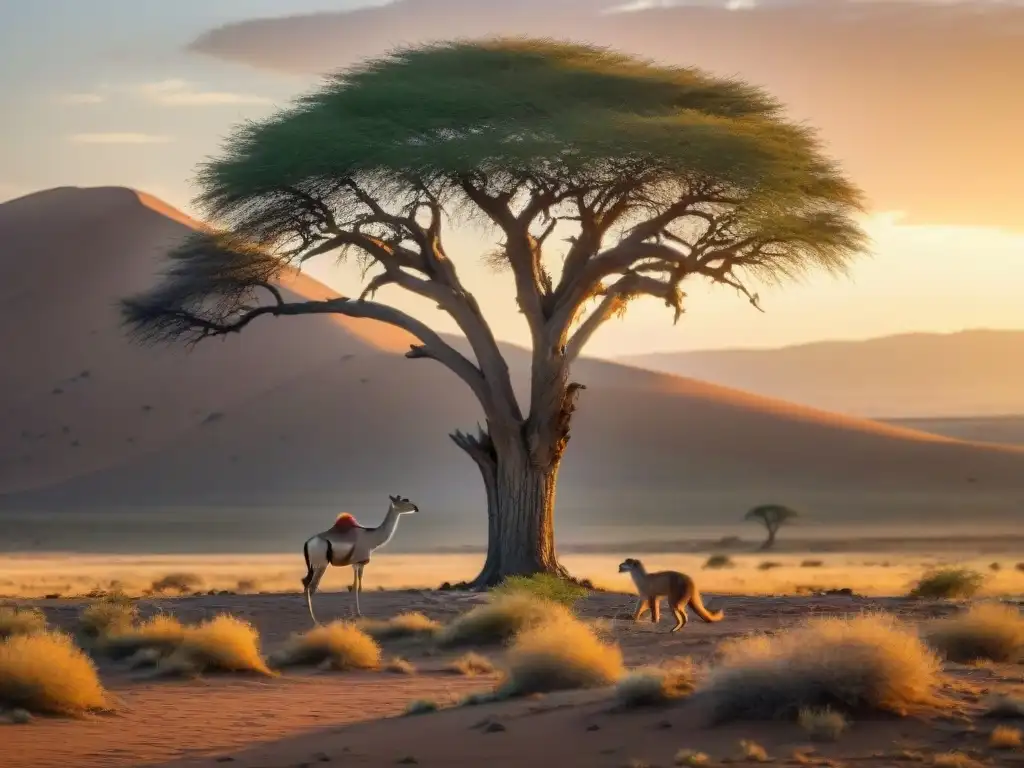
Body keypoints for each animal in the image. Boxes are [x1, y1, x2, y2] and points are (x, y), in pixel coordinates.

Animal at [301, 493, 417, 626]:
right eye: (404, 501)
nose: (416, 508)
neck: (372, 537)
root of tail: (308, 543)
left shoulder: (356, 564)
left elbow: (354, 586)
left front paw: (354, 614)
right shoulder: (358, 563)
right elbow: (357, 586)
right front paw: (358, 614)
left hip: (312, 567)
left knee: (305, 583)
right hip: (321, 565)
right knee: (311, 587)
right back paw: (315, 621)